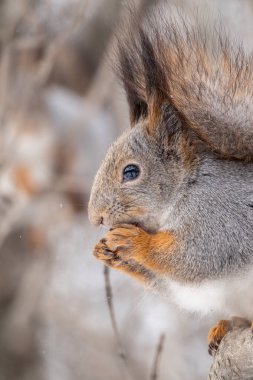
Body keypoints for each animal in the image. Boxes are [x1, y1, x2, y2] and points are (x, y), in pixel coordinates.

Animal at [88, 4, 253, 354]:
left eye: (131, 172)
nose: (96, 218)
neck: (184, 191)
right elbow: (175, 284)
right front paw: (108, 253)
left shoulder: (222, 218)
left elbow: (193, 257)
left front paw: (135, 243)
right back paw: (226, 325)